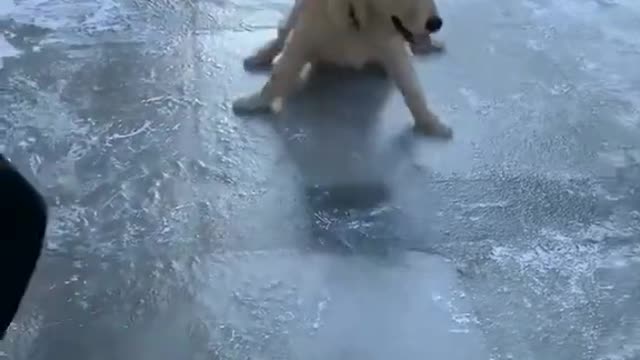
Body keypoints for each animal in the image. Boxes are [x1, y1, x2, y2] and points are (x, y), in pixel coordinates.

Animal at [232, 0, 452, 139]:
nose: (436, 23)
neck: (357, 18)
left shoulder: (391, 47)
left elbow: (412, 88)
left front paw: (430, 123)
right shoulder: (305, 35)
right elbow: (281, 71)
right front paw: (256, 101)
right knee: (282, 32)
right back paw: (260, 56)